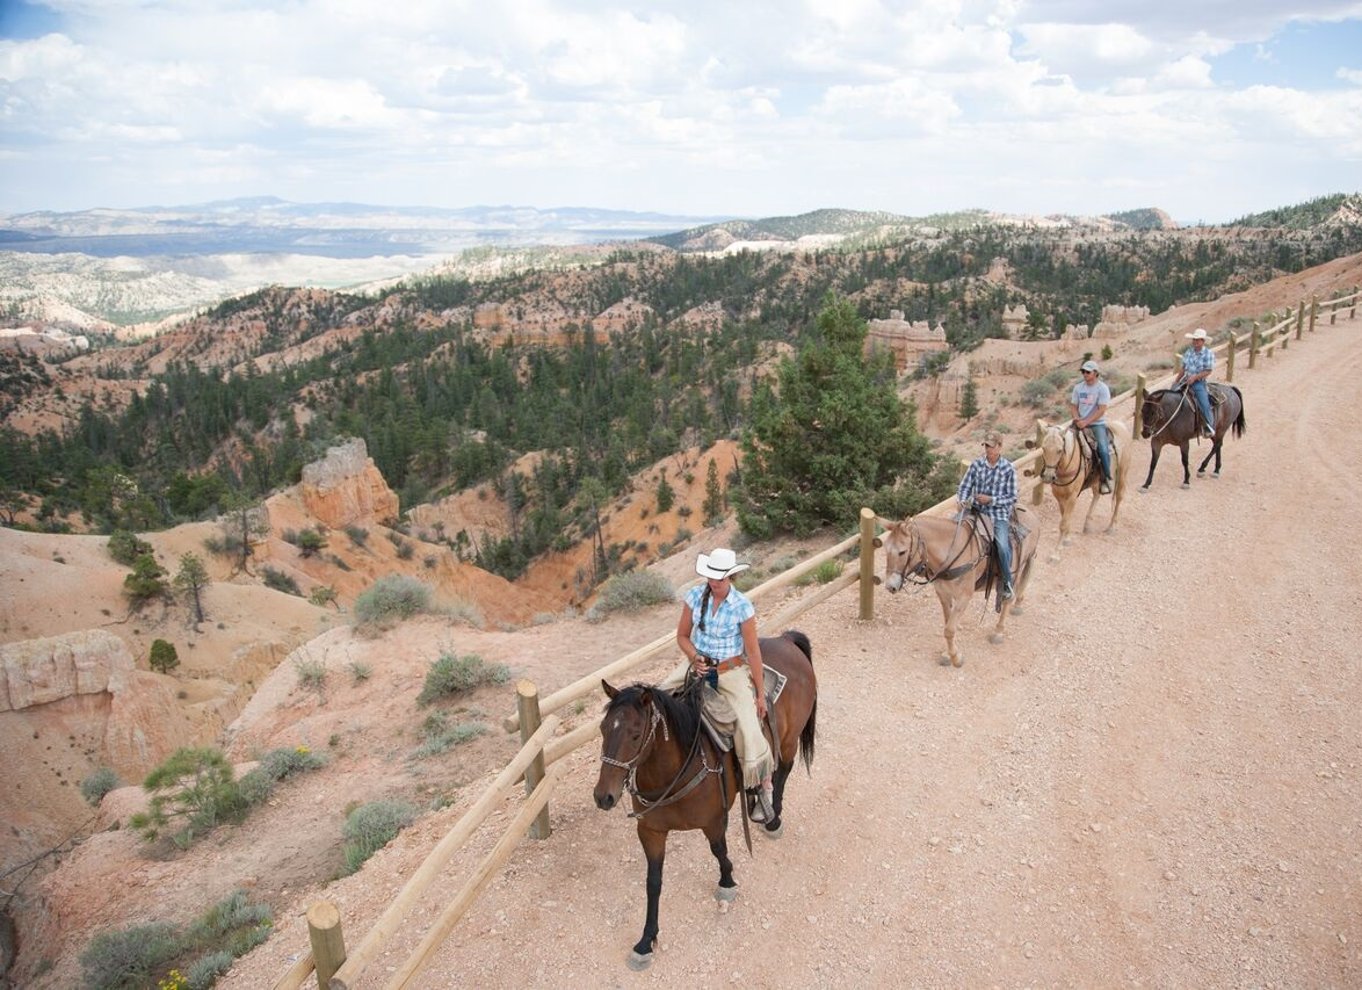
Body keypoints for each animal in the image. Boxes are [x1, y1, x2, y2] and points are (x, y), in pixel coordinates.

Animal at [591, 634, 811, 969]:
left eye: (636, 734)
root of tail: (785, 640)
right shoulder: (651, 832)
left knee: (781, 771)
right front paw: (646, 941)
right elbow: (653, 882)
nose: (604, 796)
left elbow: (719, 851)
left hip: (787, 740)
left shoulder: (714, 820)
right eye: (603, 729)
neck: (677, 769)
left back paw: (772, 818)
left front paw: (727, 882)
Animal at [877, 512, 1035, 667]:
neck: (951, 554)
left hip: (1016, 572)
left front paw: (955, 658)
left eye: (902, 552)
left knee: (1009, 599)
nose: (890, 586)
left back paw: (998, 632)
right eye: (886, 549)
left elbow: (949, 629)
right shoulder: (943, 595)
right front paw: (948, 654)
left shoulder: (964, 597)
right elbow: (948, 624)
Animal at [1024, 419, 1133, 558]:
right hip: (1097, 478)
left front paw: (1056, 552)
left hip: (1123, 472)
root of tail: (1121, 425)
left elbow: (1064, 523)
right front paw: (1066, 539)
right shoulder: (1058, 495)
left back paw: (1112, 527)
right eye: (1043, 448)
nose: (1048, 476)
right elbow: (1064, 517)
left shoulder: (1072, 496)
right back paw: (1087, 524)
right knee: (1096, 494)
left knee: (1119, 496)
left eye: (1060, 450)